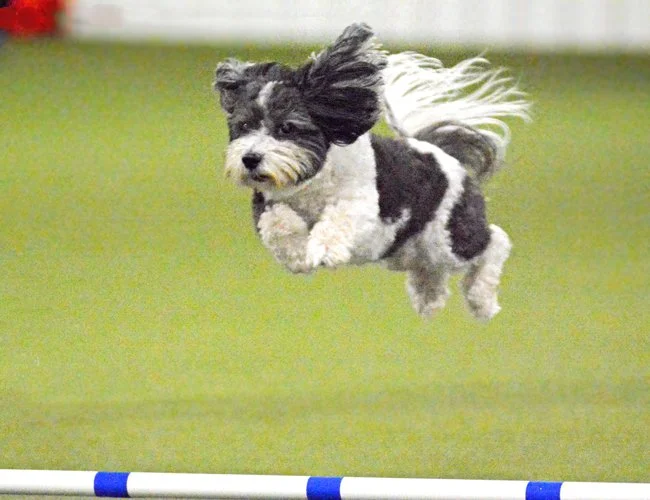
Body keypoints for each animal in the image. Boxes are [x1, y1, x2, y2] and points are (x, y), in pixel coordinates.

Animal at [213, 23, 530, 320]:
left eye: (287, 128)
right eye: (244, 126)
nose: (251, 158)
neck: (312, 185)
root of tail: (439, 152)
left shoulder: (362, 204)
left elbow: (340, 217)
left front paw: (324, 249)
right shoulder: (268, 205)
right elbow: (277, 222)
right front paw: (299, 255)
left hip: (446, 235)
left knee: (495, 240)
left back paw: (481, 300)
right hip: (406, 250)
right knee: (431, 268)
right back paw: (429, 298)